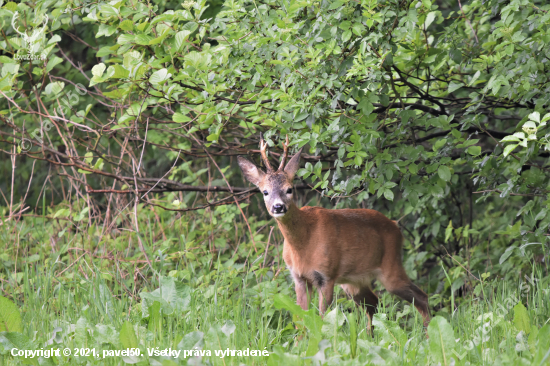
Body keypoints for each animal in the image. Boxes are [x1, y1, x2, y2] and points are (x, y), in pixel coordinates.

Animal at [239, 134, 434, 328]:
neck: (303, 245)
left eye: (289, 189)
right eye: (265, 192)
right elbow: (301, 319)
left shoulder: (327, 275)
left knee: (421, 297)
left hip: (390, 267)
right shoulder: (299, 278)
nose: (278, 207)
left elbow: (323, 319)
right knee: (373, 303)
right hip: (353, 281)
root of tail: (396, 226)